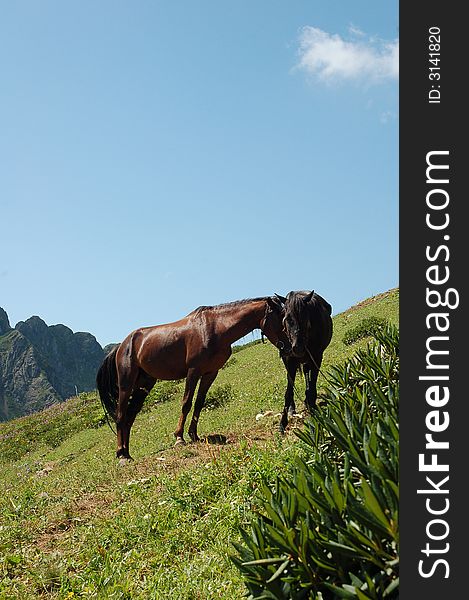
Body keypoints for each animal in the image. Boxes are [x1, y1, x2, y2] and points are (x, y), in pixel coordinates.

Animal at [96, 296, 286, 460]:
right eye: (281, 318)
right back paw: (120, 454)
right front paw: (179, 437)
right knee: (121, 415)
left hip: (144, 386)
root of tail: (122, 346)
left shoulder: (210, 373)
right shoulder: (193, 372)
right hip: (126, 384)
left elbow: (199, 403)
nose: (288, 345)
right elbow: (186, 403)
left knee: (130, 417)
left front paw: (193, 434)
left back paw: (127, 453)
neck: (215, 328)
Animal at [274, 290, 332, 432]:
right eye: (287, 319)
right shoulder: (290, 361)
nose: (298, 347)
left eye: (305, 318)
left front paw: (312, 406)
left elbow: (312, 383)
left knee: (307, 374)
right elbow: (288, 392)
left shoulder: (317, 357)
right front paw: (282, 423)